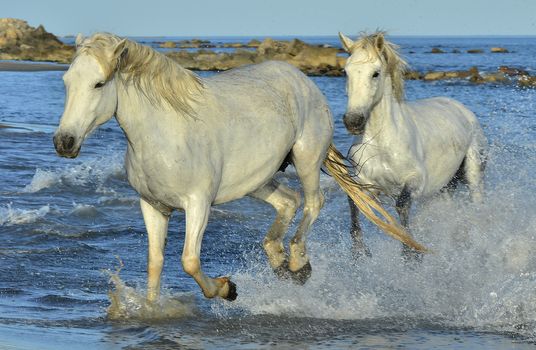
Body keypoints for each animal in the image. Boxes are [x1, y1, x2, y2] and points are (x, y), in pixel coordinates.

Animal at [340, 32, 490, 258]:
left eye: (375, 74)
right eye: (346, 72)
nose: (353, 121)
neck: (382, 144)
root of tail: (462, 109)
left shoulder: (415, 181)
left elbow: (402, 205)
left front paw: (410, 254)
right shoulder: (366, 181)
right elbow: (355, 202)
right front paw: (358, 252)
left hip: (473, 173)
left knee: (477, 204)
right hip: (443, 188)